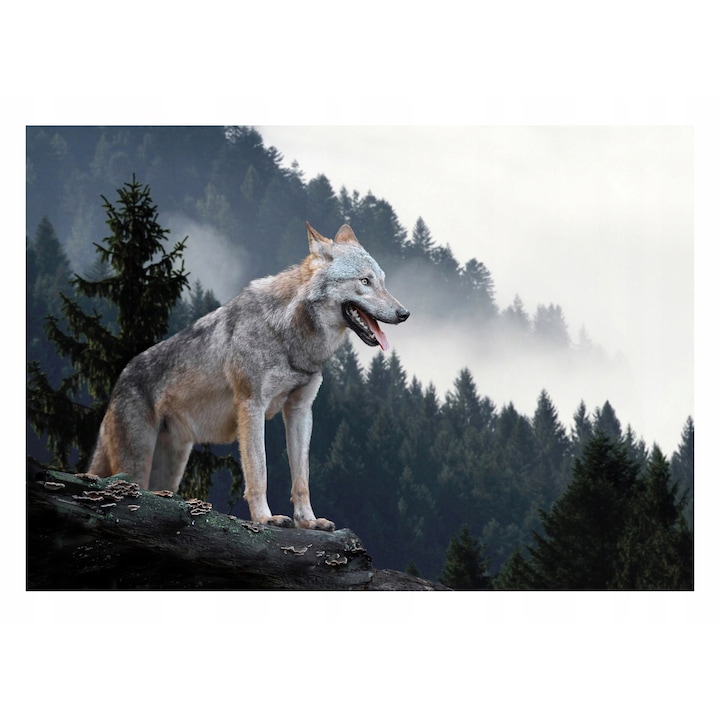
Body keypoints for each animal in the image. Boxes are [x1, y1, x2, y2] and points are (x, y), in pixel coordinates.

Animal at [88, 222, 409, 531]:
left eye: (382, 281)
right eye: (364, 281)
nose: (404, 313)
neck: (289, 334)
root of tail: (119, 381)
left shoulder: (300, 410)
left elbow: (301, 478)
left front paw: (308, 521)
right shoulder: (251, 405)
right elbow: (259, 471)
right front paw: (265, 519)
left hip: (169, 471)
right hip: (136, 466)